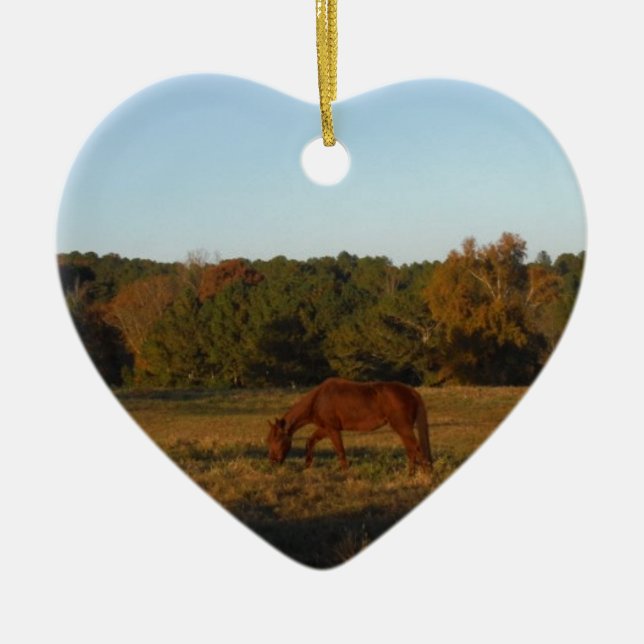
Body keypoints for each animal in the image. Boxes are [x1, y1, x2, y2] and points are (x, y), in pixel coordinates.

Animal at [266, 377, 432, 476]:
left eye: (278, 439)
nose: (273, 462)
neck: (318, 400)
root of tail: (411, 391)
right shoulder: (325, 429)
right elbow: (310, 442)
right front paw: (307, 466)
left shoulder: (332, 429)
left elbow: (340, 450)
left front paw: (345, 472)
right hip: (403, 429)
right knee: (411, 449)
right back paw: (411, 474)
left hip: (402, 427)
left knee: (416, 448)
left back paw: (424, 474)